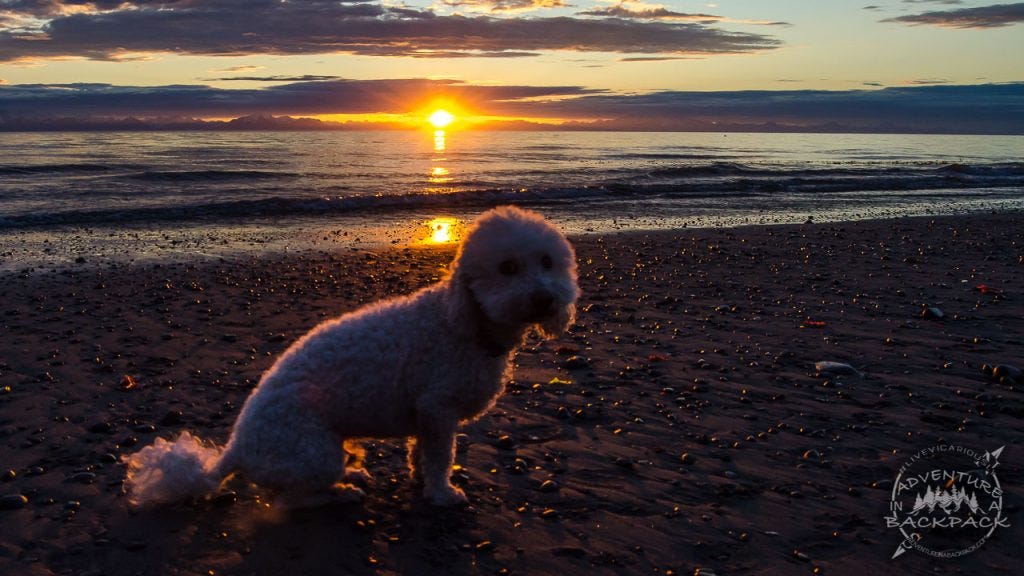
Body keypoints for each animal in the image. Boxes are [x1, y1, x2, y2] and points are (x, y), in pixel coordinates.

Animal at [125, 204, 577, 506]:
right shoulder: (437, 409)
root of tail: (234, 449)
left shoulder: (425, 416)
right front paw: (442, 493)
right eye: (507, 267)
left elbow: (420, 453)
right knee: (294, 498)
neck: (464, 322)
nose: (545, 298)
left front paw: (420, 480)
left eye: (547, 262)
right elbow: (440, 457)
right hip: (315, 454)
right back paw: (342, 492)